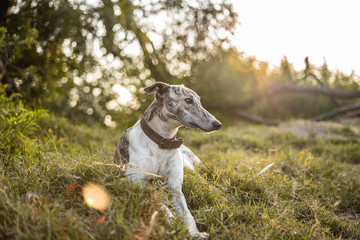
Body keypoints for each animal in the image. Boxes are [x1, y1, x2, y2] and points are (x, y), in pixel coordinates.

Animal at [114, 81, 221, 239]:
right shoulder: (138, 184)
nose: (218, 124)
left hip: (193, 170)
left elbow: (187, 213)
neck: (162, 142)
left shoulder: (174, 187)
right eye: (188, 100)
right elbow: (161, 204)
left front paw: (195, 233)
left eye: (199, 101)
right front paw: (171, 221)